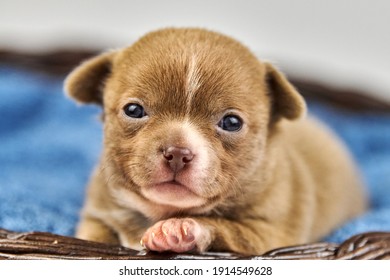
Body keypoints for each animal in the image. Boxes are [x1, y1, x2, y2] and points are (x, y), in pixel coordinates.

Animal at [65, 27, 368, 255]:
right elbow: (94, 236)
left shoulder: (271, 235)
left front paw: (178, 229)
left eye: (232, 122)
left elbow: (229, 229)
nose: (177, 153)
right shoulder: (97, 214)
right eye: (133, 110)